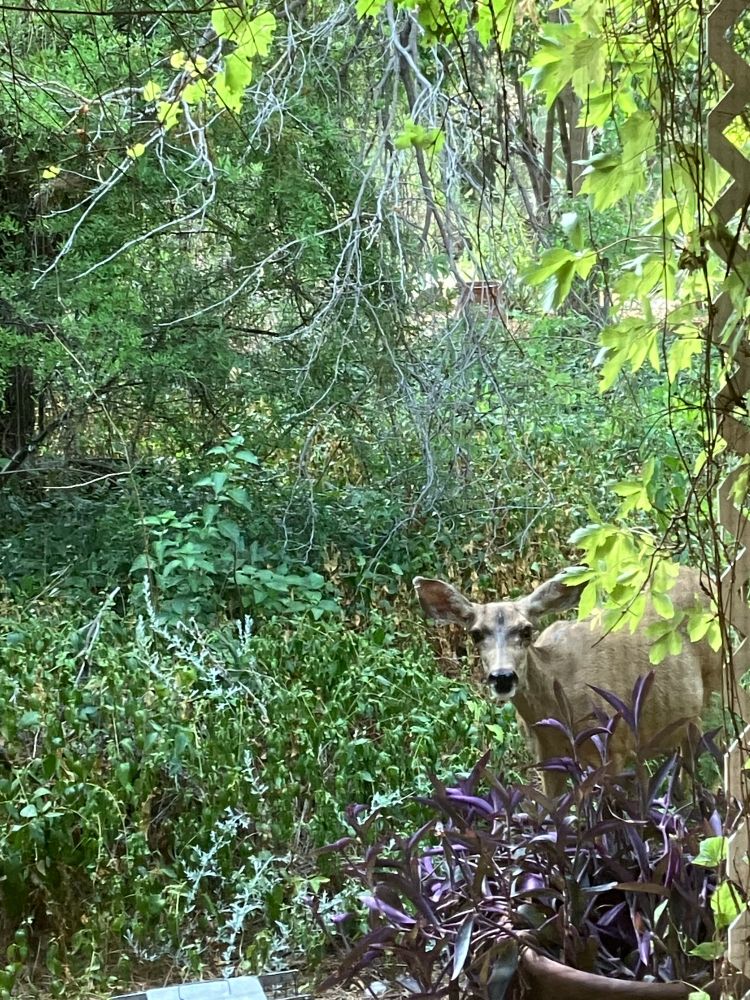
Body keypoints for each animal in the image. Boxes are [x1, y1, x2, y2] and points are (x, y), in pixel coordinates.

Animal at [414, 568, 726, 796]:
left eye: (526, 630)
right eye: (477, 633)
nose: (502, 677)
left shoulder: (613, 745)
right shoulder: (545, 756)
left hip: (711, 687)